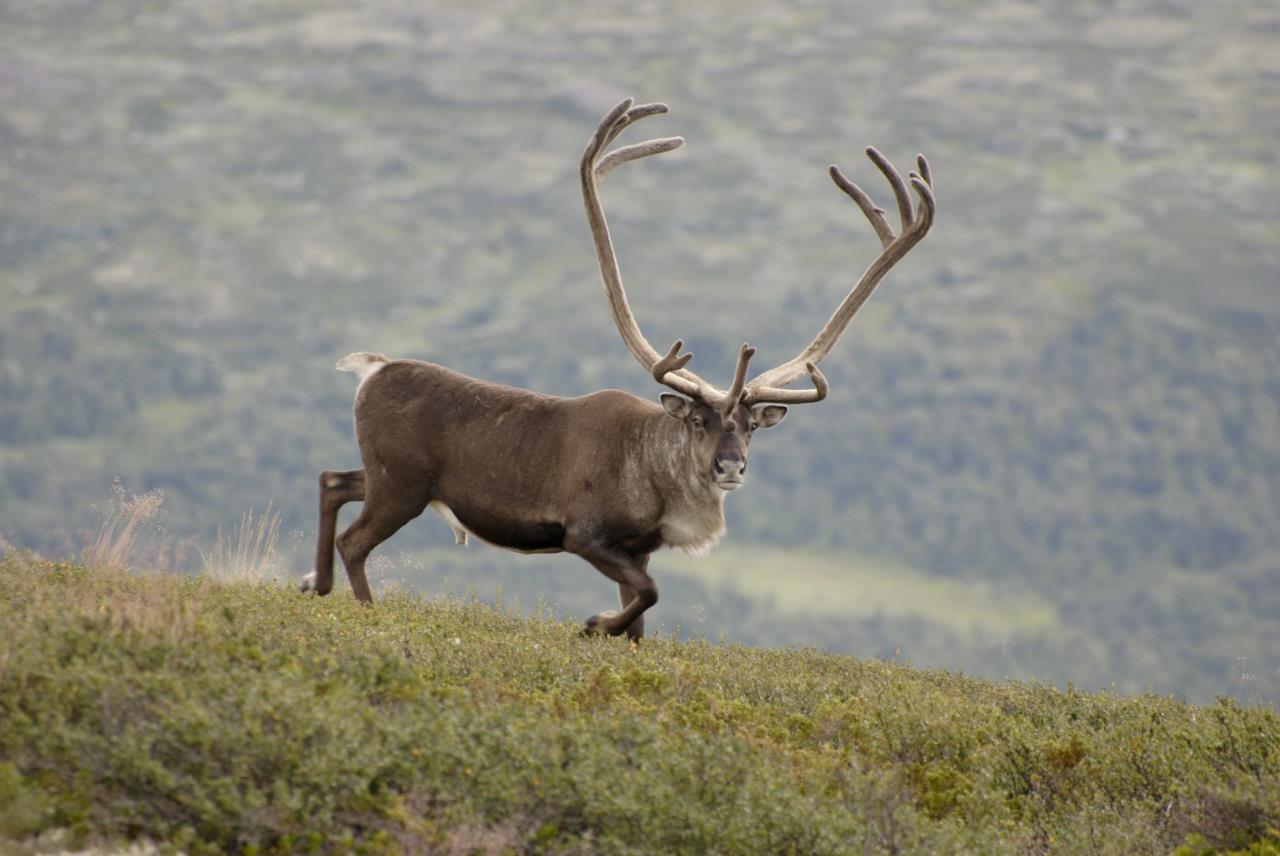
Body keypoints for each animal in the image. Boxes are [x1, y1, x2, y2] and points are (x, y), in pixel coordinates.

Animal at [300, 98, 935, 640]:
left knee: (333, 479)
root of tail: (372, 370)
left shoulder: (639, 547)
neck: (654, 476)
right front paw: (592, 623)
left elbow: (642, 617)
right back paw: (361, 608)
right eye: (700, 421)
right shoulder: (585, 533)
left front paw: (611, 630)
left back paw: (316, 583)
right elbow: (648, 595)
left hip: (392, 475)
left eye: (753, 426)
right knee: (356, 540)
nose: (731, 466)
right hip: (403, 483)